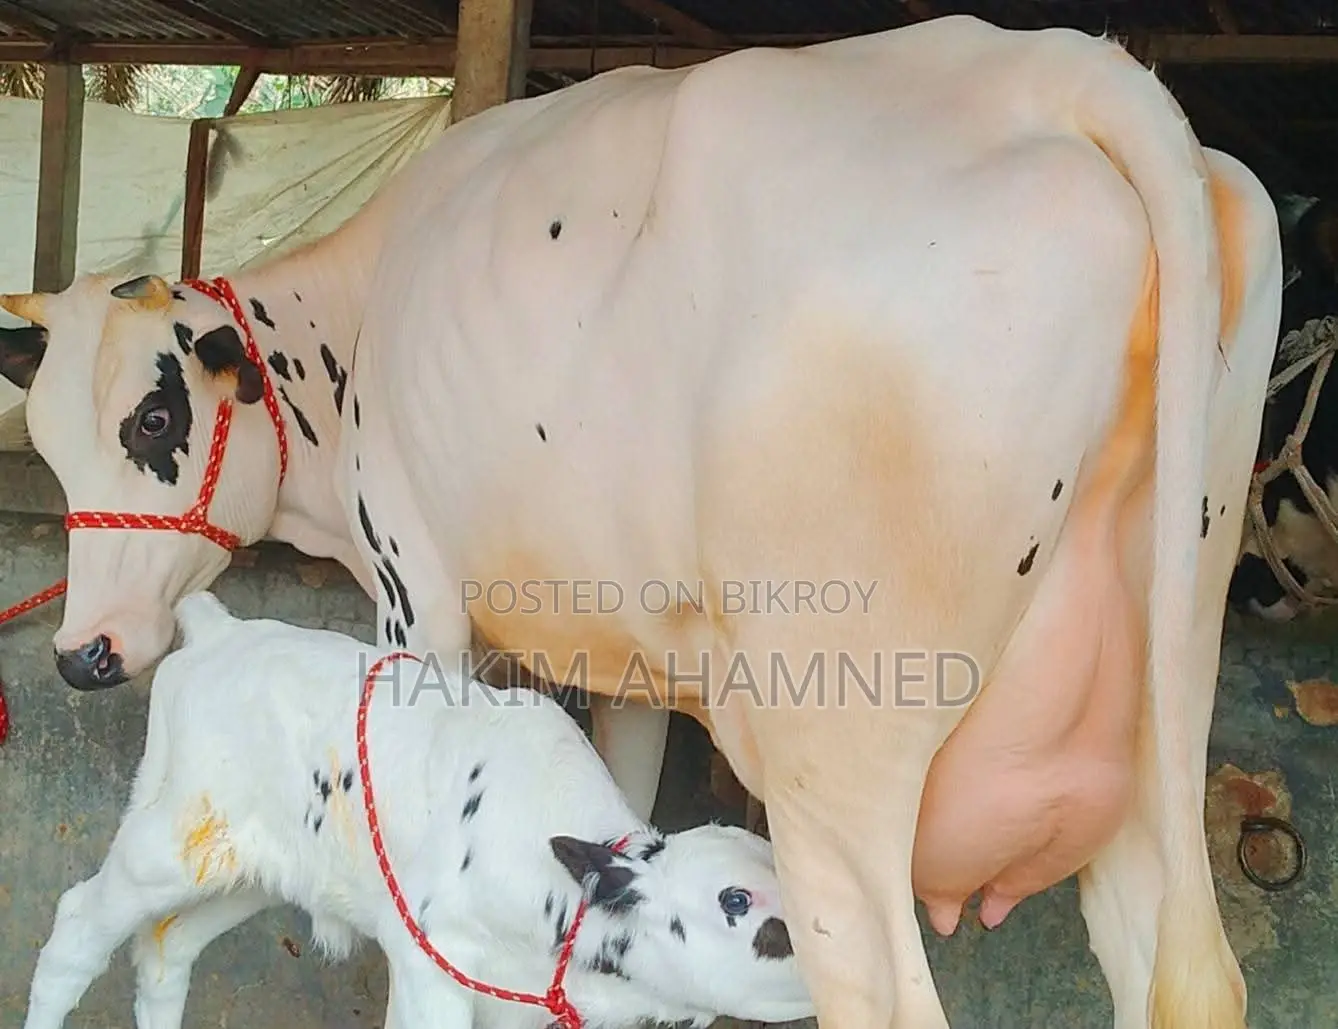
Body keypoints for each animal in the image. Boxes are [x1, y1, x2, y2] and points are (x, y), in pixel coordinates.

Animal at [22, 591, 815, 1029]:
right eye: (736, 899)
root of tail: (224, 628)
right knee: (78, 923)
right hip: (169, 837)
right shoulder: (430, 968)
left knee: (167, 946)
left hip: (254, 871)